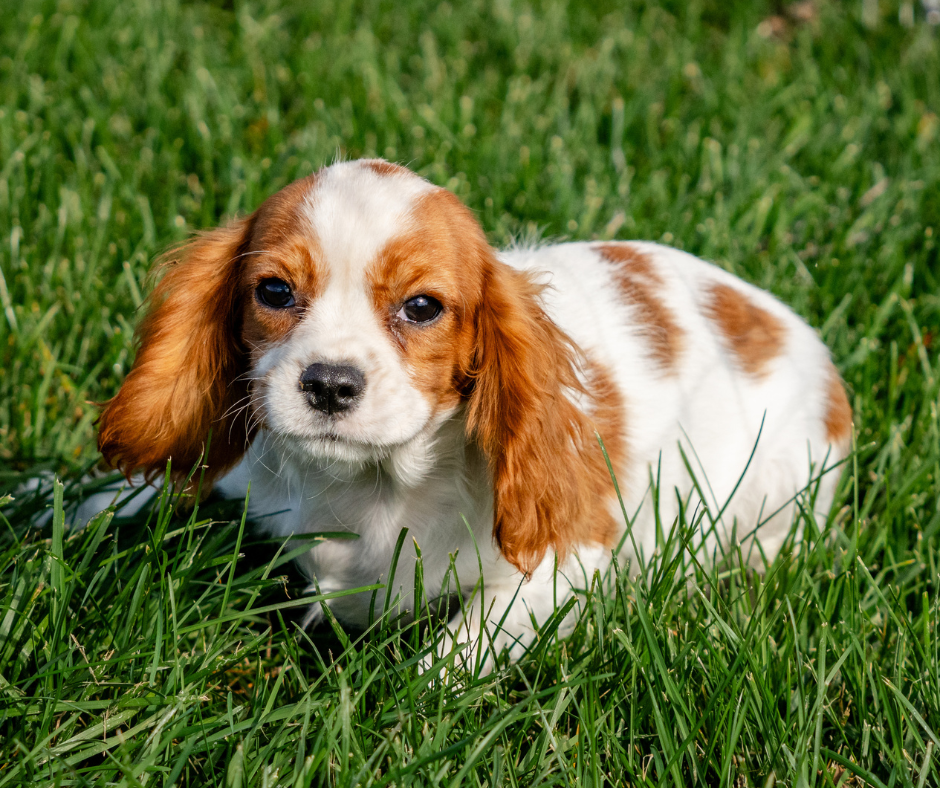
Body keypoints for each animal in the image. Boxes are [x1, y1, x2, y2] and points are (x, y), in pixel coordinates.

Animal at [95, 160, 852, 672]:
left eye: (422, 306)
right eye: (275, 292)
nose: (330, 385)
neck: (377, 486)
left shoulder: (565, 562)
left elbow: (453, 656)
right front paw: (78, 507)